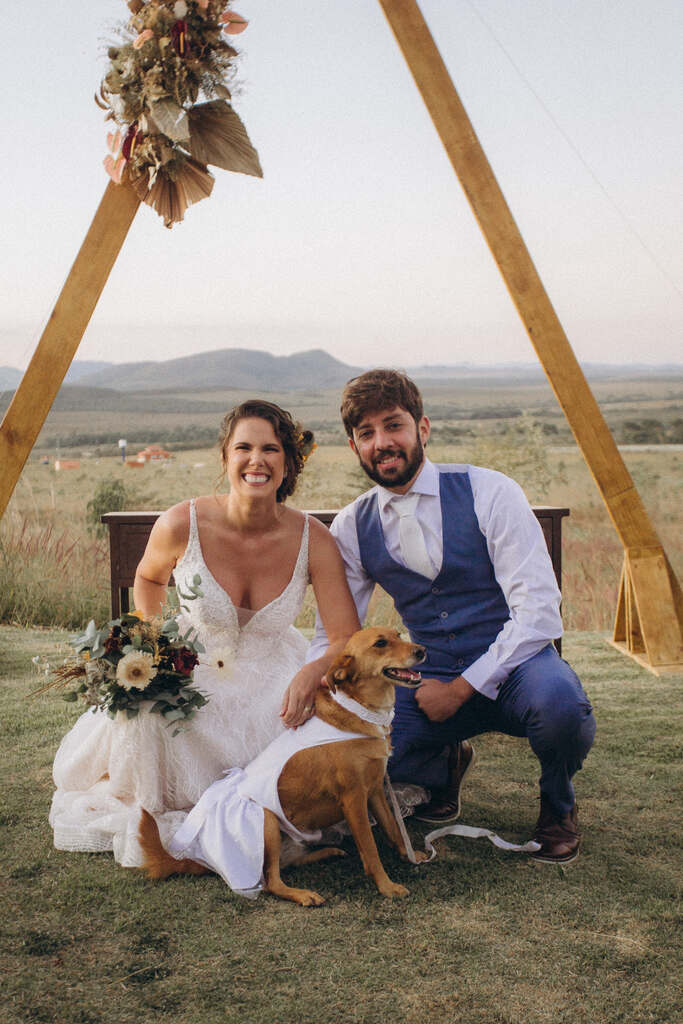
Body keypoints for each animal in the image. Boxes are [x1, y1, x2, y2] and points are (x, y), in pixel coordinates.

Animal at [138, 626, 428, 905]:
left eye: (398, 635)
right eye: (380, 643)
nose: (422, 650)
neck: (360, 711)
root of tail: (206, 863)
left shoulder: (375, 789)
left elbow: (393, 828)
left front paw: (409, 854)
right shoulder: (354, 798)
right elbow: (370, 849)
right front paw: (387, 886)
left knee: (287, 865)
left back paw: (327, 852)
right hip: (267, 819)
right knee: (271, 882)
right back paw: (303, 894)